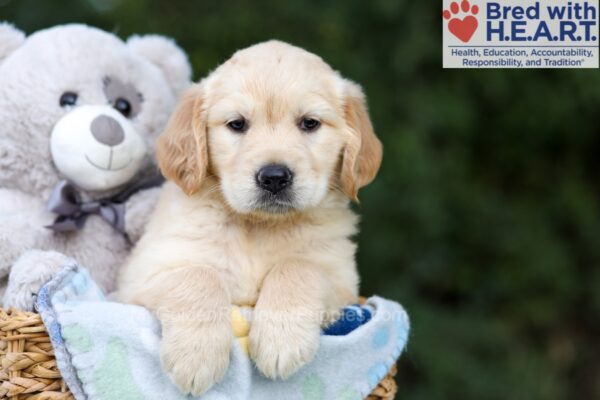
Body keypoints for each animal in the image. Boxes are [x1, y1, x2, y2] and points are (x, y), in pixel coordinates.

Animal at [115, 39, 382, 396]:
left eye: (310, 123)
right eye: (237, 124)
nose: (274, 177)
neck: (258, 226)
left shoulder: (343, 283)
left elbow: (299, 267)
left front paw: (281, 340)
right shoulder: (138, 279)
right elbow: (197, 275)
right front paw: (195, 356)